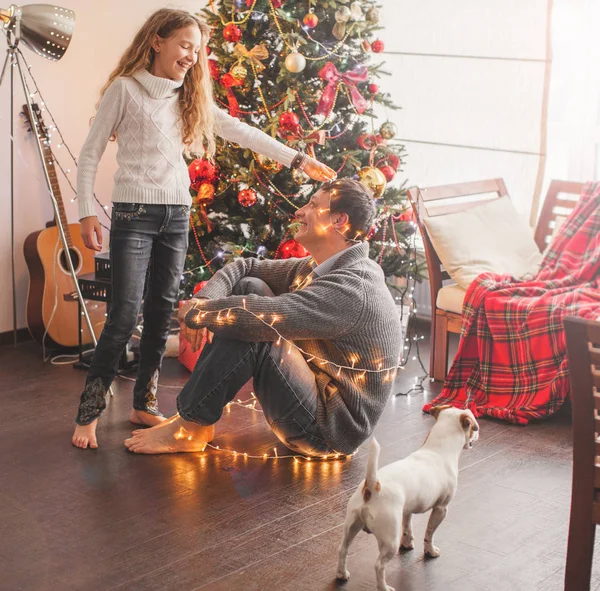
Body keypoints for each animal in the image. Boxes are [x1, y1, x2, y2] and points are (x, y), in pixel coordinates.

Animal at [336, 408, 480, 591]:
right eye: (473, 428)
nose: (478, 434)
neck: (438, 449)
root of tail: (372, 486)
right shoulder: (441, 509)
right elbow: (429, 534)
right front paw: (430, 552)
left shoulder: (407, 510)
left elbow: (407, 527)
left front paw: (407, 544)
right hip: (389, 540)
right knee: (379, 565)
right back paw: (384, 587)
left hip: (351, 526)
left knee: (343, 549)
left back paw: (342, 574)